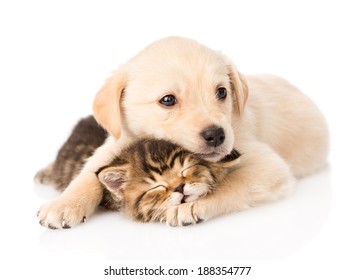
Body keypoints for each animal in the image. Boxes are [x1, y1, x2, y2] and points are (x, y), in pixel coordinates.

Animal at [37, 36, 328, 228]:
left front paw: (191, 205)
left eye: (222, 92)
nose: (217, 135)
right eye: (168, 100)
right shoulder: (119, 139)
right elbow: (89, 172)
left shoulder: (269, 166)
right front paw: (64, 204)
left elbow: (230, 184)